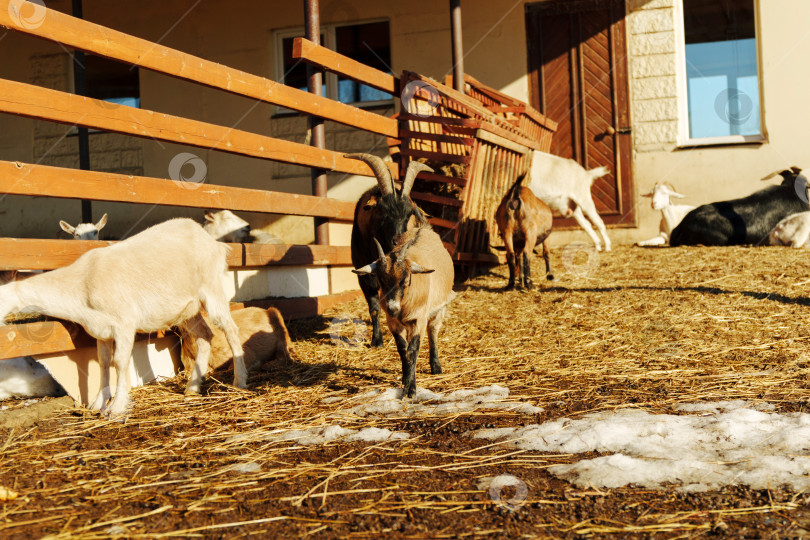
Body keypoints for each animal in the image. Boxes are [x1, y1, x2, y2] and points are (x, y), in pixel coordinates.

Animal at [0, 218, 247, 417]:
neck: (81, 285)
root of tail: (212, 241)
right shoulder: (100, 330)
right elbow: (103, 362)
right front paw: (98, 403)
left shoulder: (124, 322)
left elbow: (119, 361)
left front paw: (117, 406)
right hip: (187, 309)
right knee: (205, 335)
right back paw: (193, 387)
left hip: (212, 288)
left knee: (230, 329)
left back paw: (240, 380)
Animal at [347, 153, 433, 347]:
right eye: (382, 212)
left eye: (409, 214)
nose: (399, 239)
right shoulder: (365, 275)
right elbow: (374, 307)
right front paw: (377, 340)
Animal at [353, 225, 455, 397]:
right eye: (380, 280)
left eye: (405, 279)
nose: (393, 308)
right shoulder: (393, 322)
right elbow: (402, 349)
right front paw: (405, 380)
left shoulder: (419, 320)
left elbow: (413, 350)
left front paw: (411, 389)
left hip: (439, 309)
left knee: (433, 332)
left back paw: (436, 367)